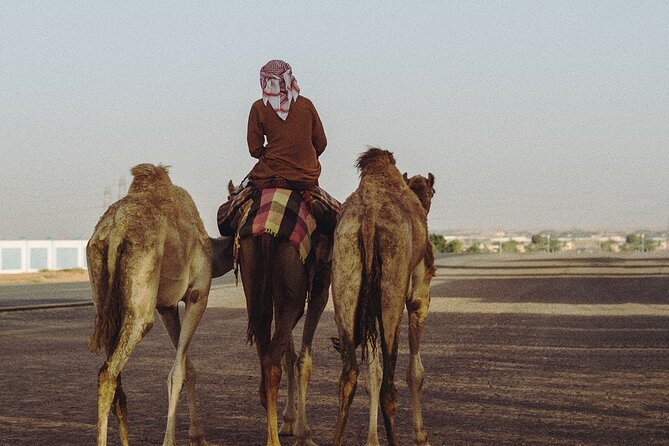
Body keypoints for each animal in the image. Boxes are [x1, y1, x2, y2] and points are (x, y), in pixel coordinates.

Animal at [87, 164, 233, 446]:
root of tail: (114, 230)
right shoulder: (198, 294)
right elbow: (177, 373)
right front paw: (177, 439)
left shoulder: (166, 306)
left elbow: (188, 368)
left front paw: (197, 435)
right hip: (141, 299)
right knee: (108, 372)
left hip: (104, 301)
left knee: (114, 375)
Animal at [228, 181, 334, 446]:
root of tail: (267, 230)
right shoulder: (320, 287)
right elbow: (303, 359)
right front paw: (303, 433)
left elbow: (291, 353)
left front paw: (288, 422)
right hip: (293, 285)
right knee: (273, 358)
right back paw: (273, 440)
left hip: (255, 281)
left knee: (266, 352)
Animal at [331, 148, 435, 446]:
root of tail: (368, 219)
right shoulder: (418, 290)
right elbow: (415, 373)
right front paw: (421, 436)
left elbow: (372, 373)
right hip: (392, 280)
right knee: (389, 384)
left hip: (345, 270)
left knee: (349, 375)